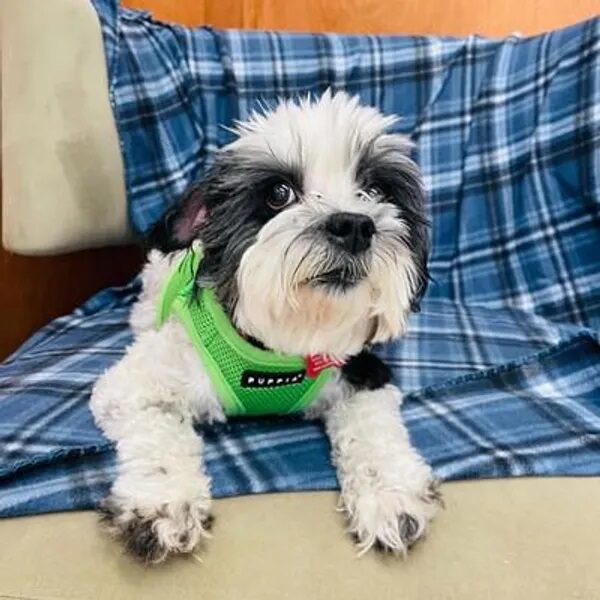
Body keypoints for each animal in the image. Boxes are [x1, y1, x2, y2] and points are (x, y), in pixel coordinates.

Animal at [92, 90, 440, 564]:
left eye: (374, 190)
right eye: (279, 193)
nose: (354, 225)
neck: (278, 350)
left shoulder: (363, 372)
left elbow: (374, 429)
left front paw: (389, 492)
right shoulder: (133, 388)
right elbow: (158, 433)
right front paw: (163, 500)